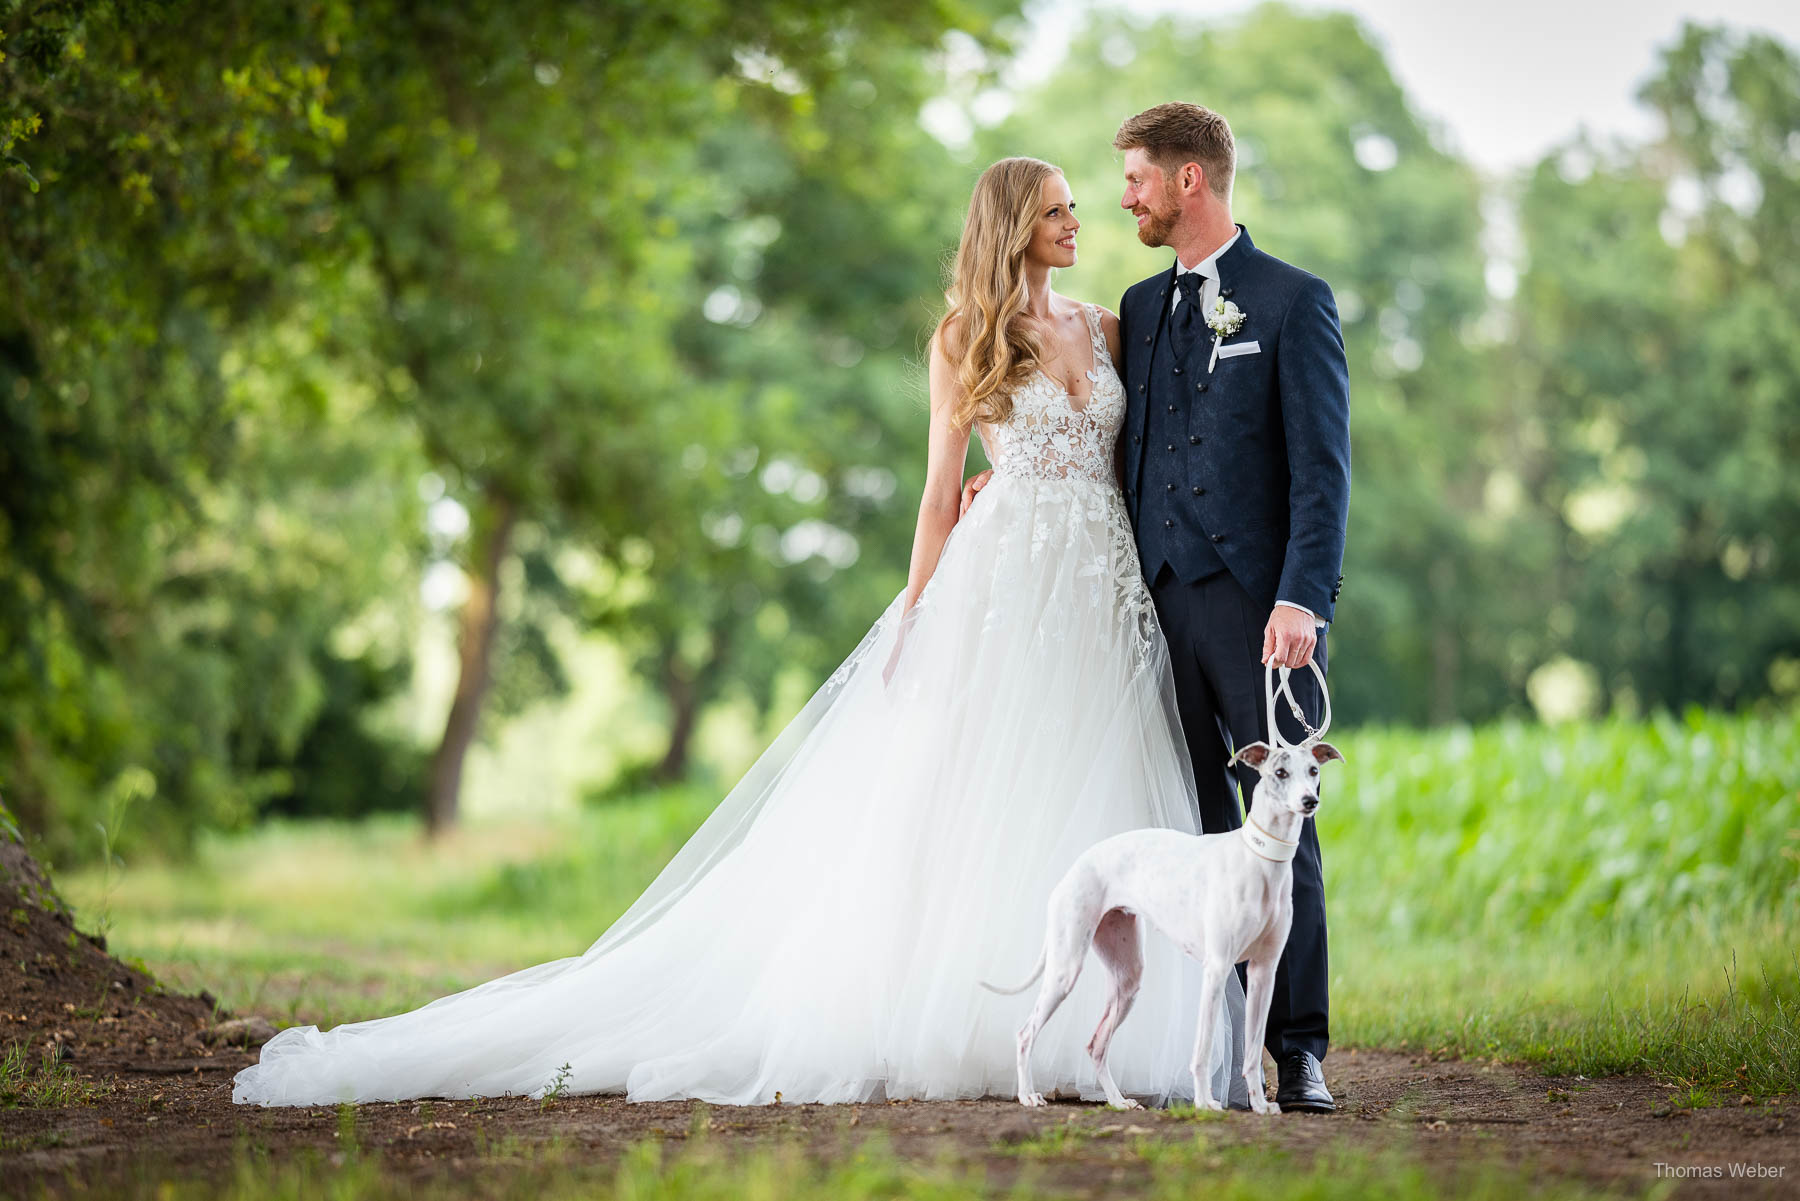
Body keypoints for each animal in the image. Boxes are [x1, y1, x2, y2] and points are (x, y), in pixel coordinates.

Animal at [986, 677, 1339, 1116]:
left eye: (1313, 771)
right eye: (1279, 772)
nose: (1310, 801)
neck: (1259, 859)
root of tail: (1075, 866)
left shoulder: (1264, 972)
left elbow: (1254, 1048)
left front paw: (1260, 1106)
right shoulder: (1217, 968)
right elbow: (1202, 1050)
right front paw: (1205, 1103)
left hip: (1127, 976)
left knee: (1095, 1044)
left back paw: (1118, 1102)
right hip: (1066, 967)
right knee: (1025, 1033)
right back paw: (1028, 1095)